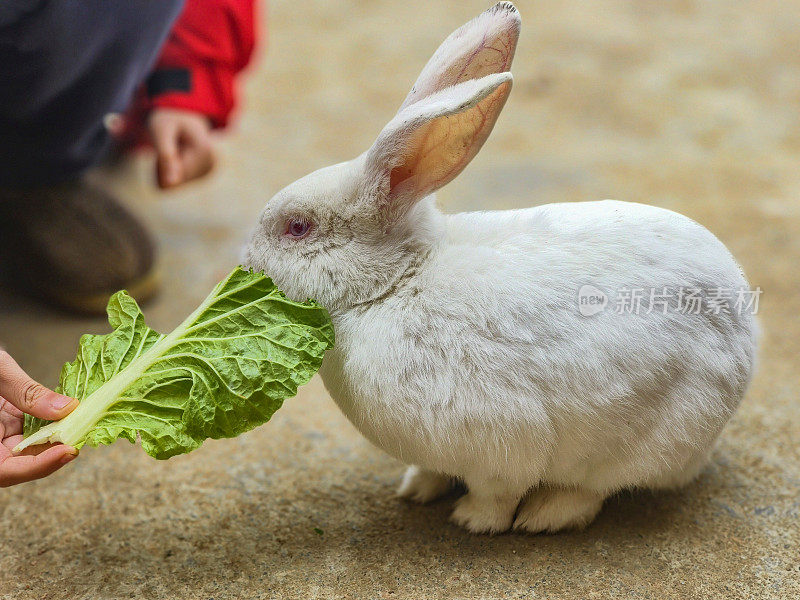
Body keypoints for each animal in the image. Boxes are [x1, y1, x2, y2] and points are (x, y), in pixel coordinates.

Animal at [245, 2, 756, 532]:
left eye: (298, 227)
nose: (249, 262)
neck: (398, 282)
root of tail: (744, 341)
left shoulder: (498, 448)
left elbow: (496, 493)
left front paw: (472, 520)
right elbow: (433, 470)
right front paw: (415, 489)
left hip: (637, 443)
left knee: (590, 490)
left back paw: (543, 517)